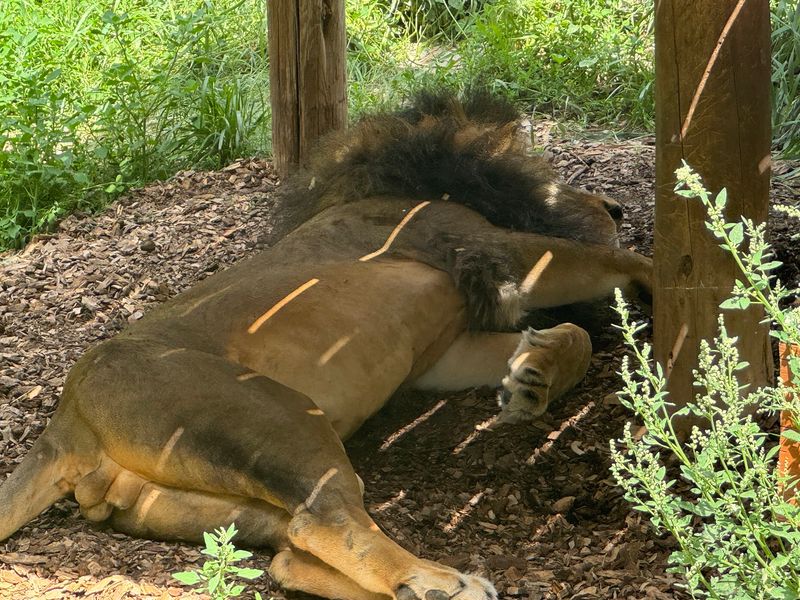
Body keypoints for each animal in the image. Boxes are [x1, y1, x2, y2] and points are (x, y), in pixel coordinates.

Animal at [0, 89, 651, 600]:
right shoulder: (496, 249)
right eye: (555, 181)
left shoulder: (442, 355)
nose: (617, 207)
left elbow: (572, 336)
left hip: (197, 500)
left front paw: (530, 378)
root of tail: (69, 416)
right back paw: (441, 582)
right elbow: (611, 267)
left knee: (289, 558)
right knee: (322, 520)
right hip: (274, 417)